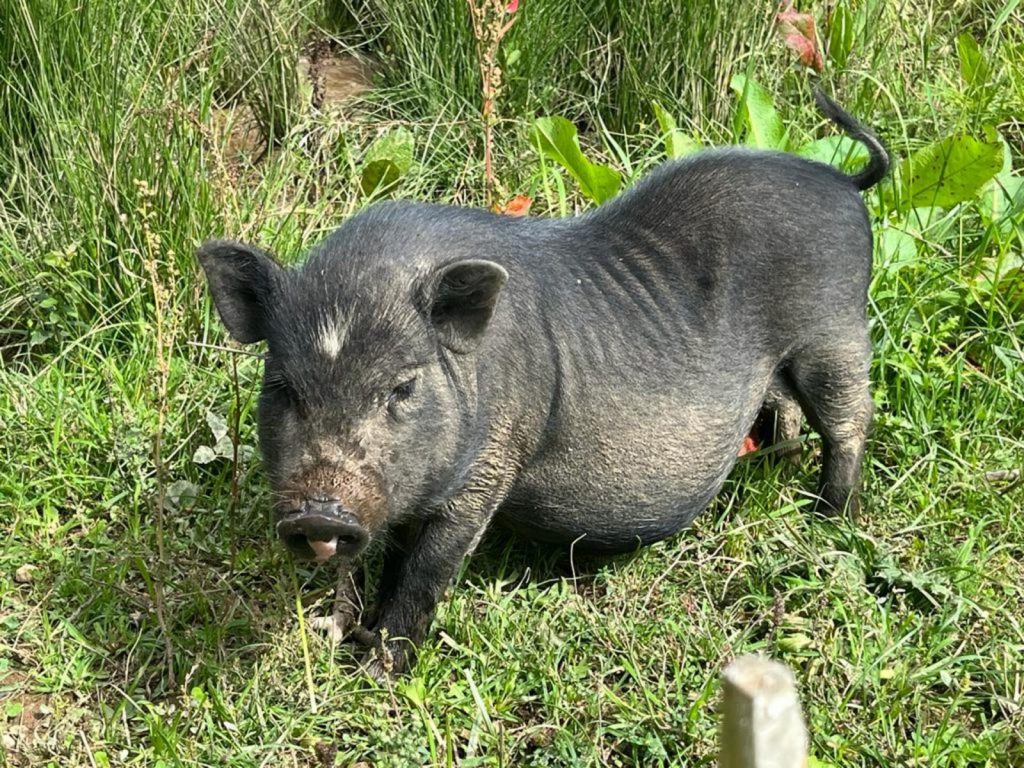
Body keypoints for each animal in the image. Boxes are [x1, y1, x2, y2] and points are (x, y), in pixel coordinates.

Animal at [197, 91, 888, 679]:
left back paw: (831, 518)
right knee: (787, 406)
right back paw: (778, 464)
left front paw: (381, 670)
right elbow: (394, 552)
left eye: (401, 388)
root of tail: (839, 181)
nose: (318, 512)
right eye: (283, 388)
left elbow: (427, 569)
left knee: (851, 420)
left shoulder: (490, 464)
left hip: (835, 328)